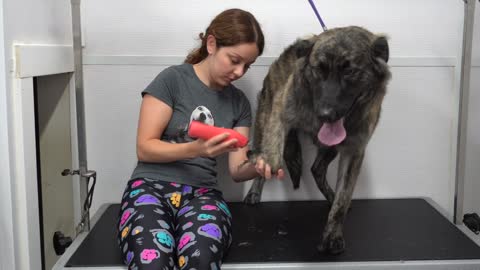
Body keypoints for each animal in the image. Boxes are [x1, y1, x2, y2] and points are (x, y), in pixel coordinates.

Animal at [244, 26, 390, 254]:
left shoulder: (354, 149)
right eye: (318, 70)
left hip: (332, 147)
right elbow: (272, 158)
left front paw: (332, 234)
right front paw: (262, 162)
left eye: (349, 71)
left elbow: (343, 198)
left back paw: (330, 195)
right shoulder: (280, 114)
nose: (325, 114)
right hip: (263, 121)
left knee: (317, 169)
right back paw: (254, 191)